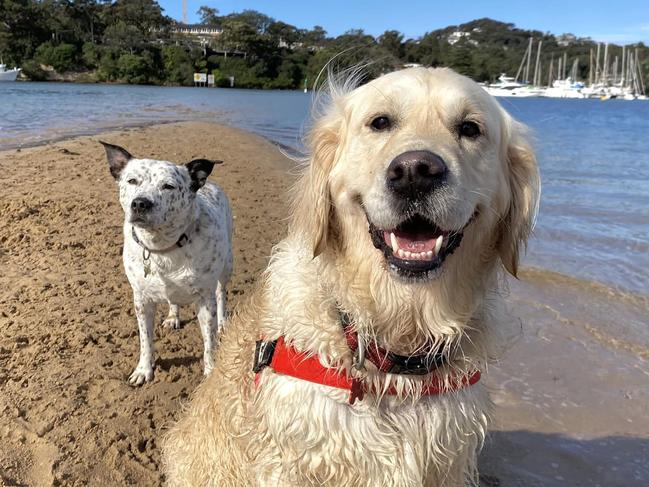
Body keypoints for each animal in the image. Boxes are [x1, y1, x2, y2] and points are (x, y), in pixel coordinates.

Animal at [101, 143, 233, 386]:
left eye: (168, 186)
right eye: (132, 180)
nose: (140, 203)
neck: (162, 248)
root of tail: (208, 183)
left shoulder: (204, 300)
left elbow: (208, 341)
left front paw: (210, 370)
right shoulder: (141, 301)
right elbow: (145, 340)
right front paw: (143, 369)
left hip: (227, 264)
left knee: (221, 292)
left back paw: (223, 321)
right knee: (174, 299)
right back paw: (173, 316)